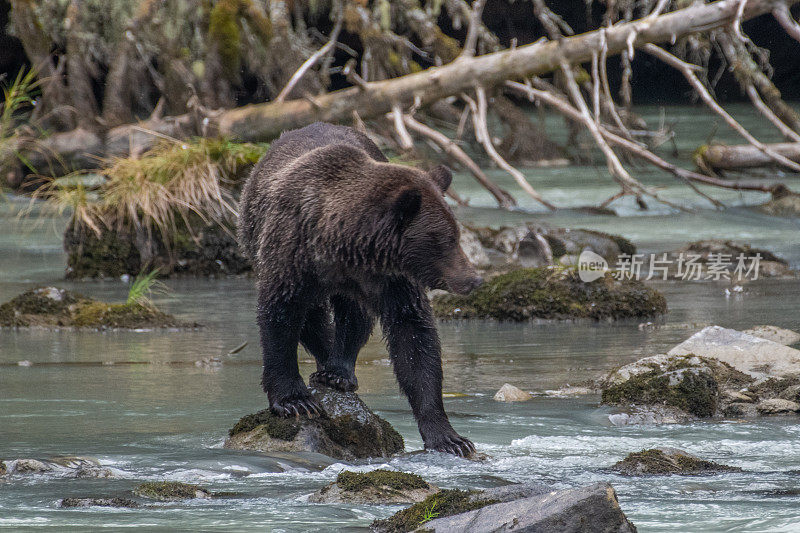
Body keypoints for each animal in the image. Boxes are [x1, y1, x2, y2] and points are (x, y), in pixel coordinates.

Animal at [234, 122, 478, 456]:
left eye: (456, 234)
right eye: (445, 240)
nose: (473, 279)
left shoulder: (390, 280)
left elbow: (414, 337)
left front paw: (449, 437)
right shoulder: (292, 254)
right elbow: (280, 317)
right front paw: (294, 400)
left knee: (355, 315)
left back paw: (339, 372)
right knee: (314, 316)